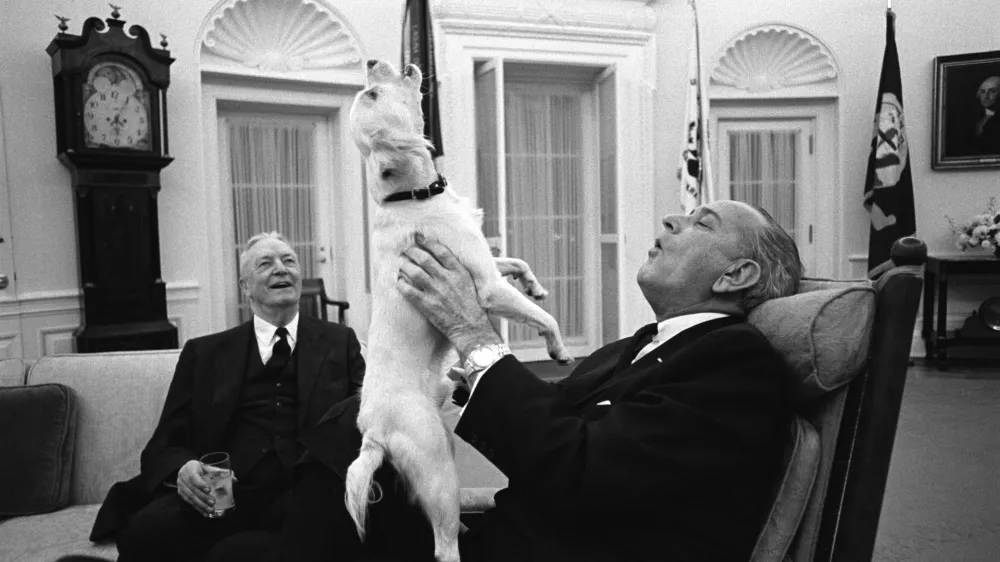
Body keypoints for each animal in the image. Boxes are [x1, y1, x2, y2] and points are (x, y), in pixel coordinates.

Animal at [348, 59, 576, 556]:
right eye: (373, 94)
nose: (372, 60)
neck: (412, 199)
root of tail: (373, 432)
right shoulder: (487, 288)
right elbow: (542, 317)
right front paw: (559, 349)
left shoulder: (487, 262)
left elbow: (517, 264)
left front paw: (535, 285)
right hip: (439, 468)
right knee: (442, 542)